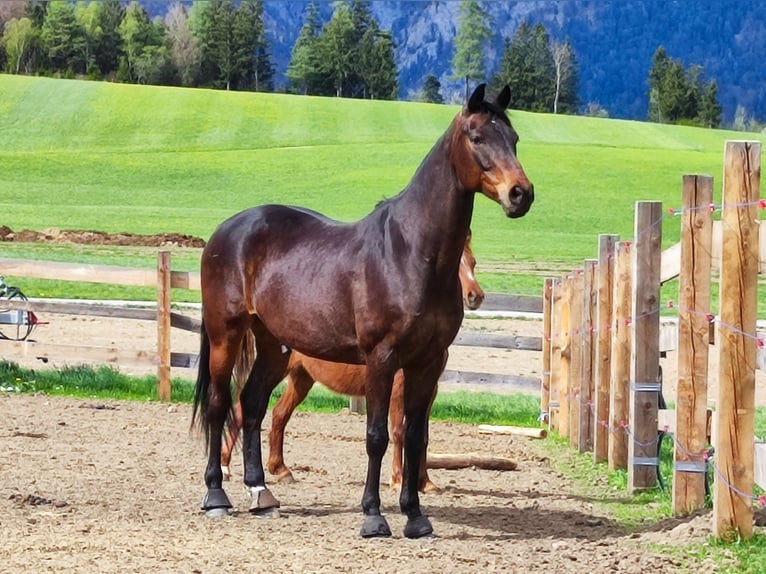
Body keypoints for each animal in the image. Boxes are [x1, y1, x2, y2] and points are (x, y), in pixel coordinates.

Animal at [219, 232, 485, 493]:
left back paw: (280, 469)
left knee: (279, 414)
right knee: (242, 409)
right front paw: (398, 479)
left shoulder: (429, 390)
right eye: (456, 266)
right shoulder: (396, 388)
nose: (475, 296)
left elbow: (423, 436)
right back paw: (225, 466)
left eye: (473, 263)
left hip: (301, 378)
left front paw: (425, 483)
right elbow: (398, 431)